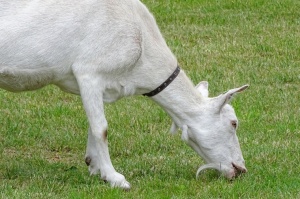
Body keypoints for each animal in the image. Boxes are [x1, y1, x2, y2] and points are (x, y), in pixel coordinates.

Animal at [0, 0, 248, 190]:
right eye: (233, 123)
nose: (241, 169)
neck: (142, 43)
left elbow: (93, 125)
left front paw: (95, 166)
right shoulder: (88, 72)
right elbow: (101, 128)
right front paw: (116, 179)